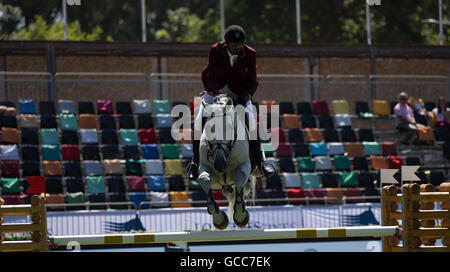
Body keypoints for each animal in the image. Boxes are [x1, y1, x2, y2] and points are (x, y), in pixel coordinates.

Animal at [197, 94, 256, 230]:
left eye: (229, 127)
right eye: (207, 128)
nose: (219, 164)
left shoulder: (245, 166)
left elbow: (239, 177)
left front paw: (240, 216)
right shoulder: (205, 167)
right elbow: (204, 179)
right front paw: (219, 218)